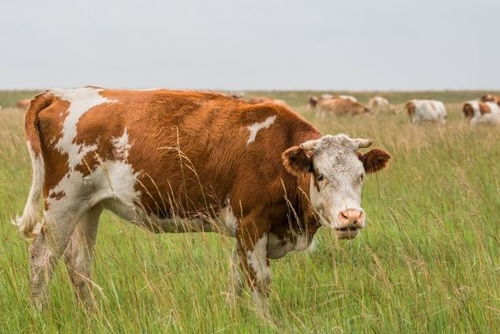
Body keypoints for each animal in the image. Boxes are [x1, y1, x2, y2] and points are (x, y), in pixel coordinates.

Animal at [13, 87, 390, 316]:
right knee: (42, 260)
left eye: (360, 175)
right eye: (321, 176)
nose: (351, 216)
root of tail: (58, 94)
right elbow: (259, 280)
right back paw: (40, 314)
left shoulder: (244, 233)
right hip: (63, 203)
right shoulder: (252, 223)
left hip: (89, 207)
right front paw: (265, 320)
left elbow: (236, 279)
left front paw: (235, 315)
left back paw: (91, 315)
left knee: (79, 264)